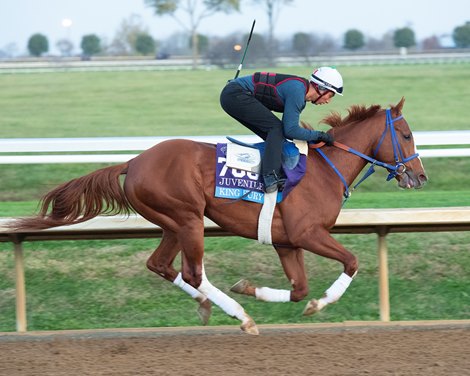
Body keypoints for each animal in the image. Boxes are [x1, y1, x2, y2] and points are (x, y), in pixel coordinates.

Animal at [12, 97, 428, 334]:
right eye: (407, 135)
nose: (420, 176)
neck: (325, 169)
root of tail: (134, 161)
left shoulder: (286, 242)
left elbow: (298, 290)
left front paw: (251, 288)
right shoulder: (307, 233)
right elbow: (351, 262)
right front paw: (320, 304)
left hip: (173, 222)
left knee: (161, 265)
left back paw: (209, 304)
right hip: (188, 218)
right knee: (193, 272)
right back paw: (240, 316)